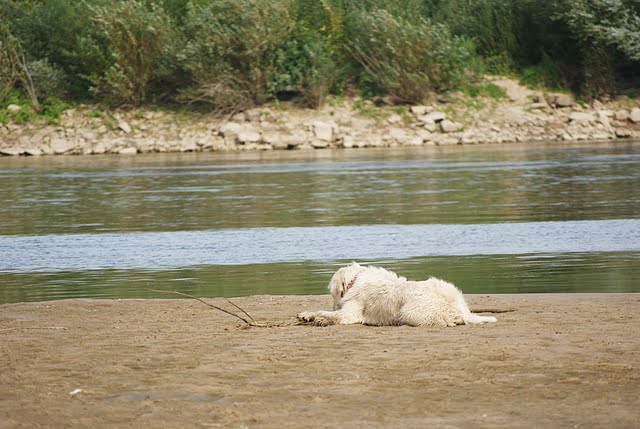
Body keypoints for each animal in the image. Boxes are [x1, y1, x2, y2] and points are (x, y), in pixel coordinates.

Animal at [298, 262, 497, 327]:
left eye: (332, 294)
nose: (334, 306)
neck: (357, 277)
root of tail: (461, 310)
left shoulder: (352, 311)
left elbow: (339, 315)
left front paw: (321, 318)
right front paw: (306, 315)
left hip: (411, 311)